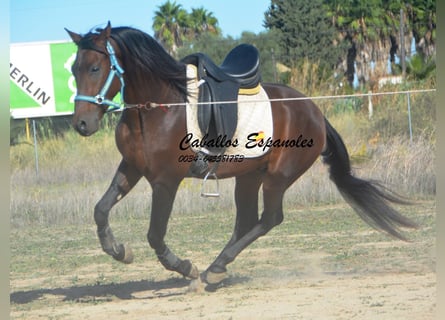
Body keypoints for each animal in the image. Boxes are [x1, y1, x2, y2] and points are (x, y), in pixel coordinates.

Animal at [65, 23, 416, 286]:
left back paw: (213, 269)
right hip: (249, 176)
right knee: (246, 221)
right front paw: (117, 249)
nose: (81, 124)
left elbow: (155, 234)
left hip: (277, 177)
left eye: (95, 67)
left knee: (269, 219)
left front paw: (184, 267)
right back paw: (217, 268)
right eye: (74, 70)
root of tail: (314, 110)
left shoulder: (165, 181)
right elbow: (100, 209)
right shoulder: (132, 167)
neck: (159, 106)